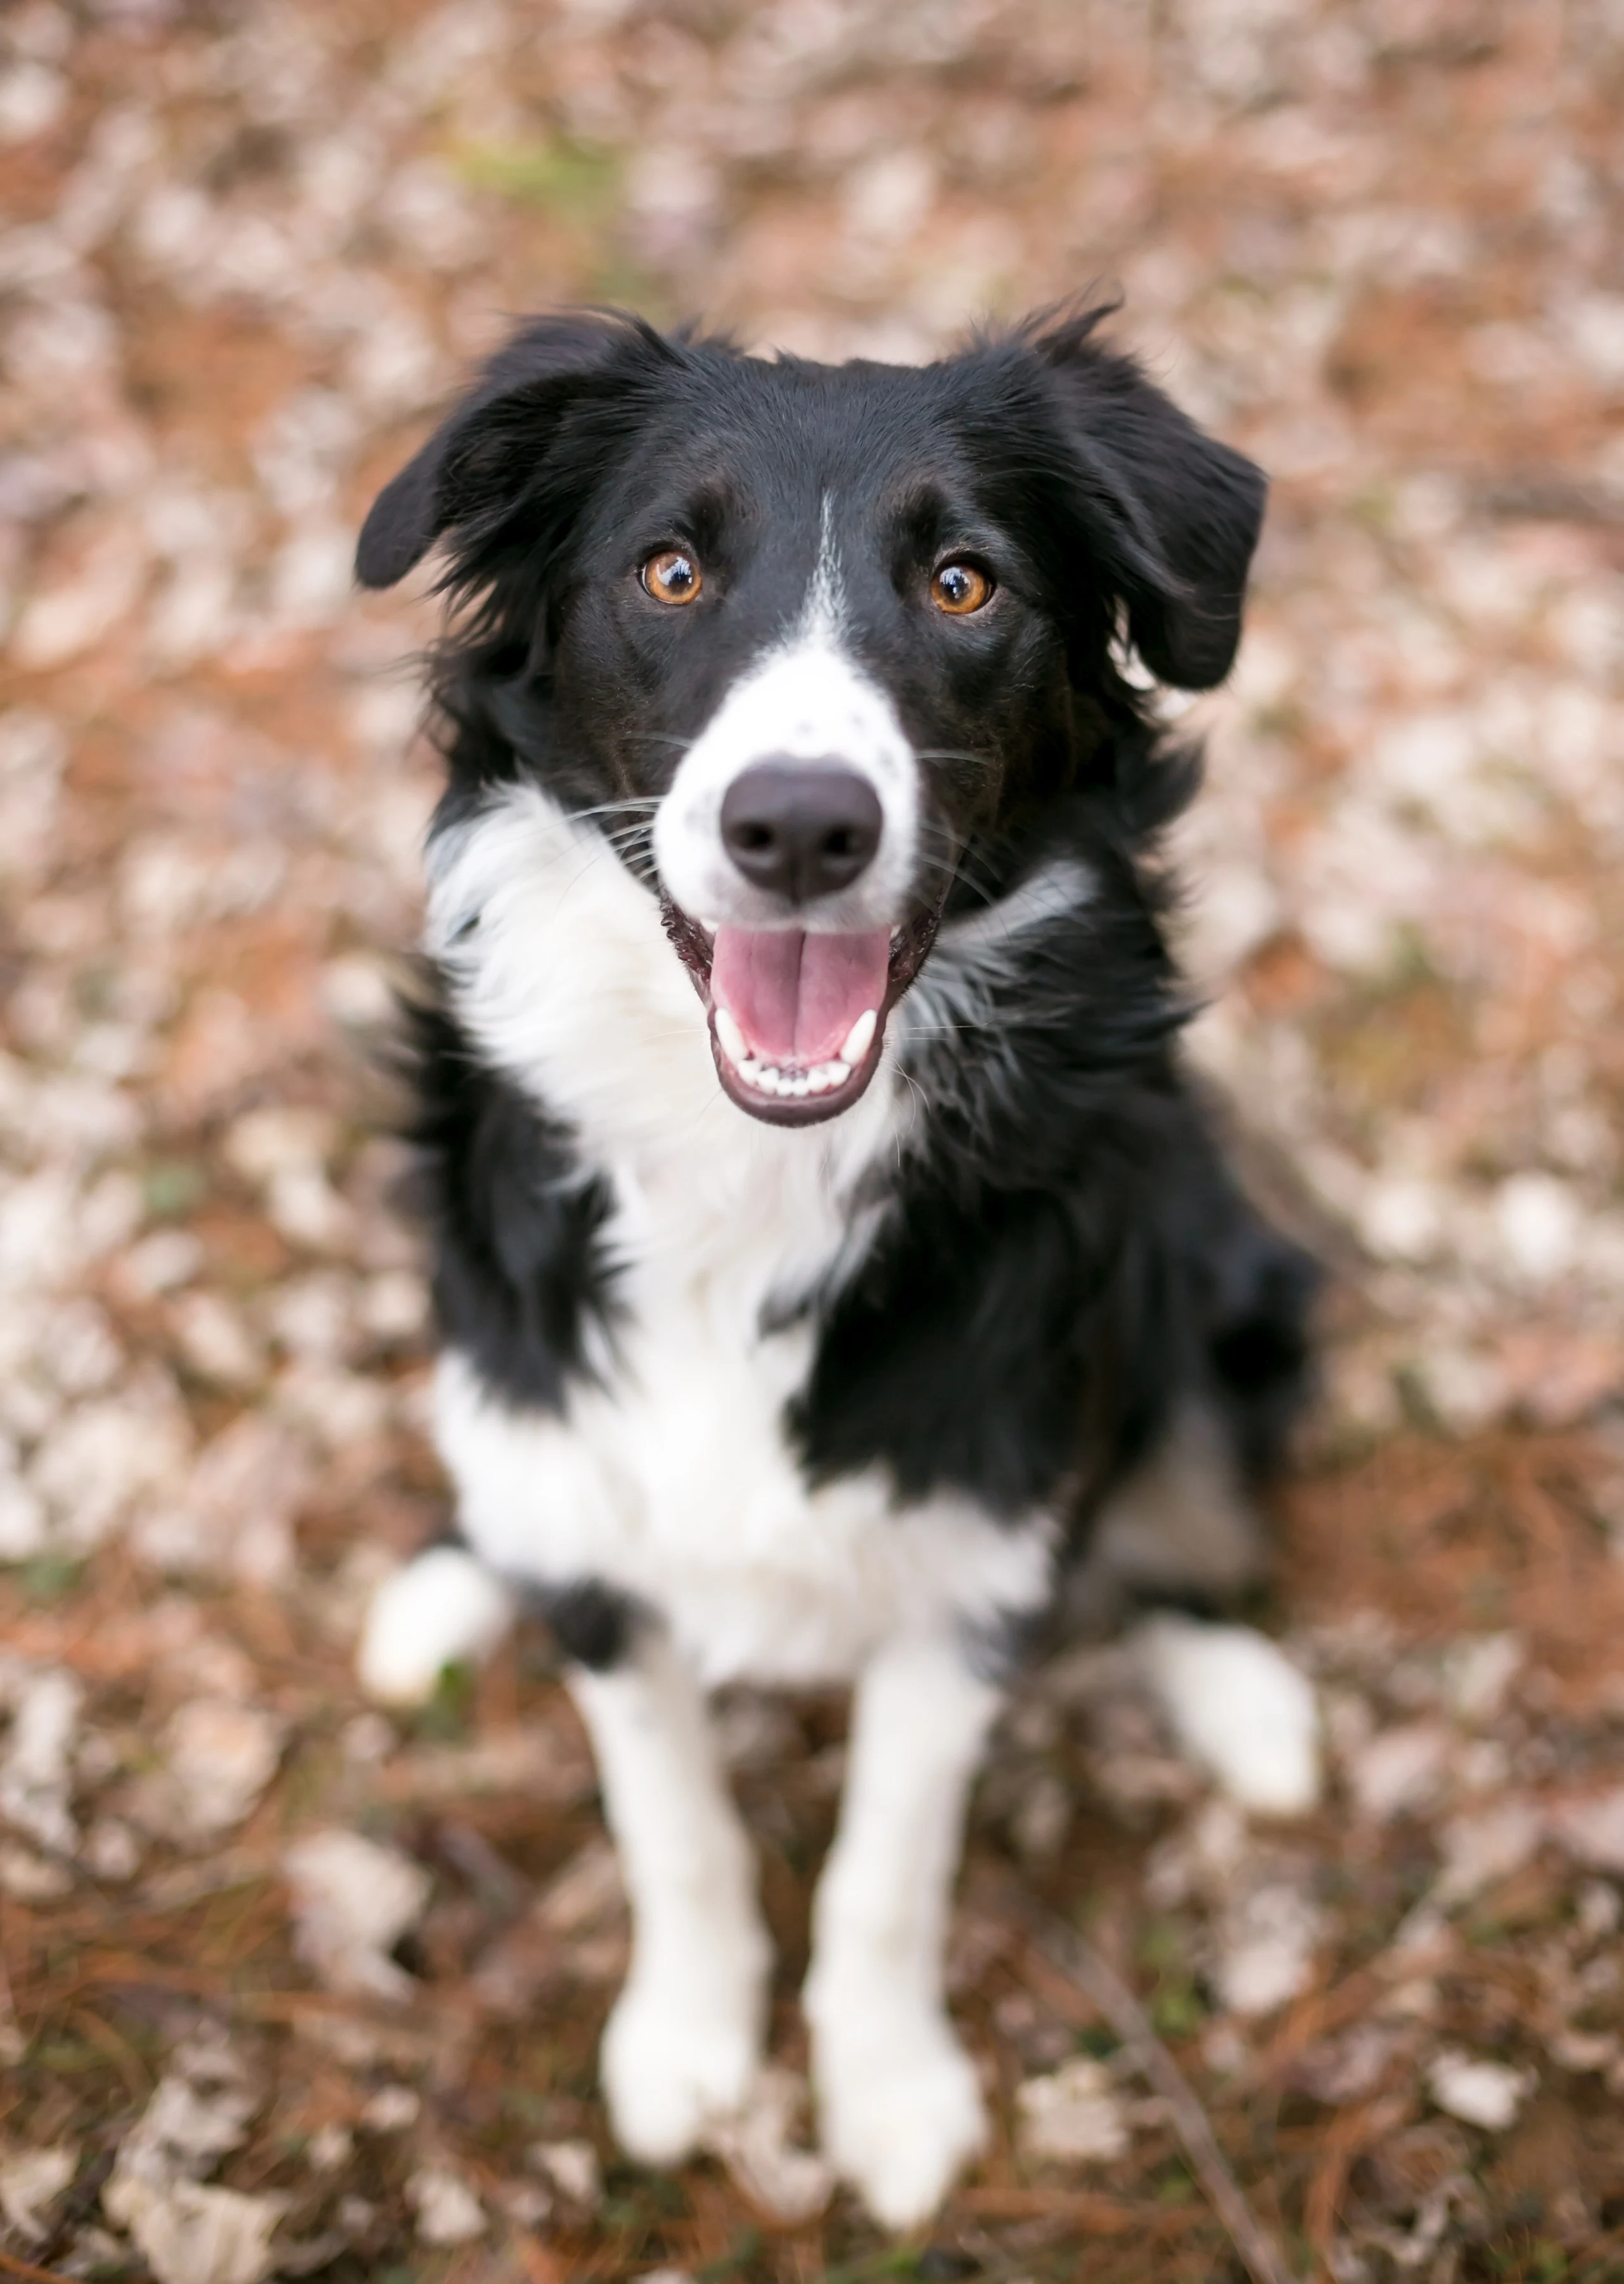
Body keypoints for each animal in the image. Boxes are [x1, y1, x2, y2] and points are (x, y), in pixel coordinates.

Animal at [352, 308, 1324, 2229]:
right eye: (668, 569)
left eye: (963, 582)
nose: (798, 826)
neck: (759, 1172)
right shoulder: (595, 1522)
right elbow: (672, 1823)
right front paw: (686, 2039)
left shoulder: (967, 1560)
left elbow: (886, 1867)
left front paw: (886, 2093)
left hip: (1225, 1272)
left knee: (1174, 1498)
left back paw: (1240, 1694)